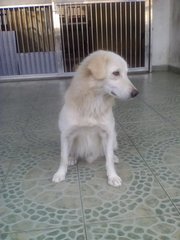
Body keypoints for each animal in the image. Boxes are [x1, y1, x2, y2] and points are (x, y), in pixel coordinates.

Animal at [52, 49, 139, 187]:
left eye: (126, 73)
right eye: (116, 73)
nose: (136, 93)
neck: (93, 103)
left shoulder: (107, 133)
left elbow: (108, 159)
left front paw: (112, 176)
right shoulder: (66, 134)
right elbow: (63, 157)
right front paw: (60, 173)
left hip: (113, 137)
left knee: (108, 152)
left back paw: (114, 157)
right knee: (71, 152)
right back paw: (72, 158)